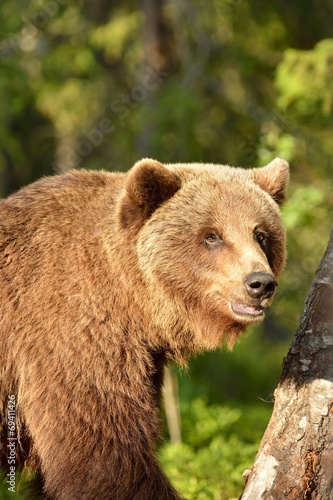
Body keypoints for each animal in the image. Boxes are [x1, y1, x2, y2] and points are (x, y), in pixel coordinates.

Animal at [0, 157, 286, 500]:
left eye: (261, 234)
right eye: (211, 236)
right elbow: (102, 453)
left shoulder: (142, 359)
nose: (260, 283)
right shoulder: (71, 332)